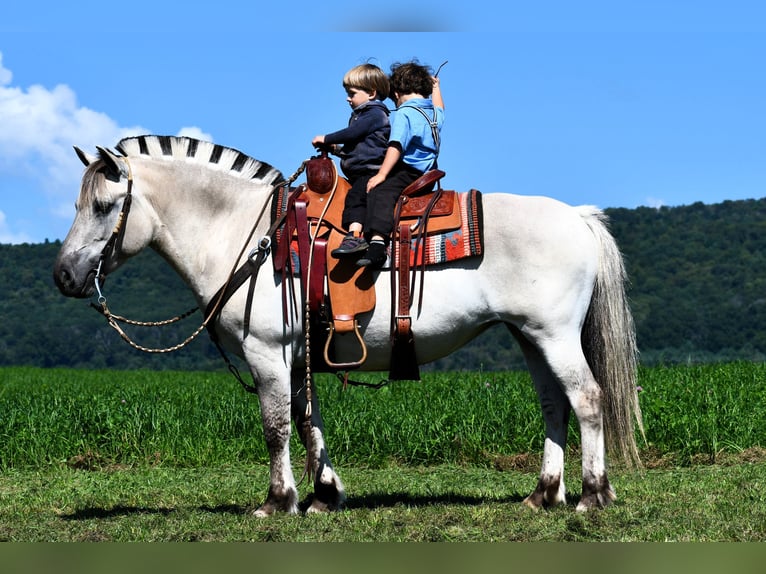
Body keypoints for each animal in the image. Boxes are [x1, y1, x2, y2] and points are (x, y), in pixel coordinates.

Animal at [51, 136, 644, 516]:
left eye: (103, 206)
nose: (64, 276)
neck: (244, 234)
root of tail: (579, 216)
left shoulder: (267, 353)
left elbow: (276, 426)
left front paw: (277, 502)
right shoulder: (296, 356)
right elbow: (307, 418)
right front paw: (323, 494)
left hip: (555, 335)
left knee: (588, 398)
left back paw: (593, 494)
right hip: (529, 337)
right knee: (553, 404)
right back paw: (544, 494)